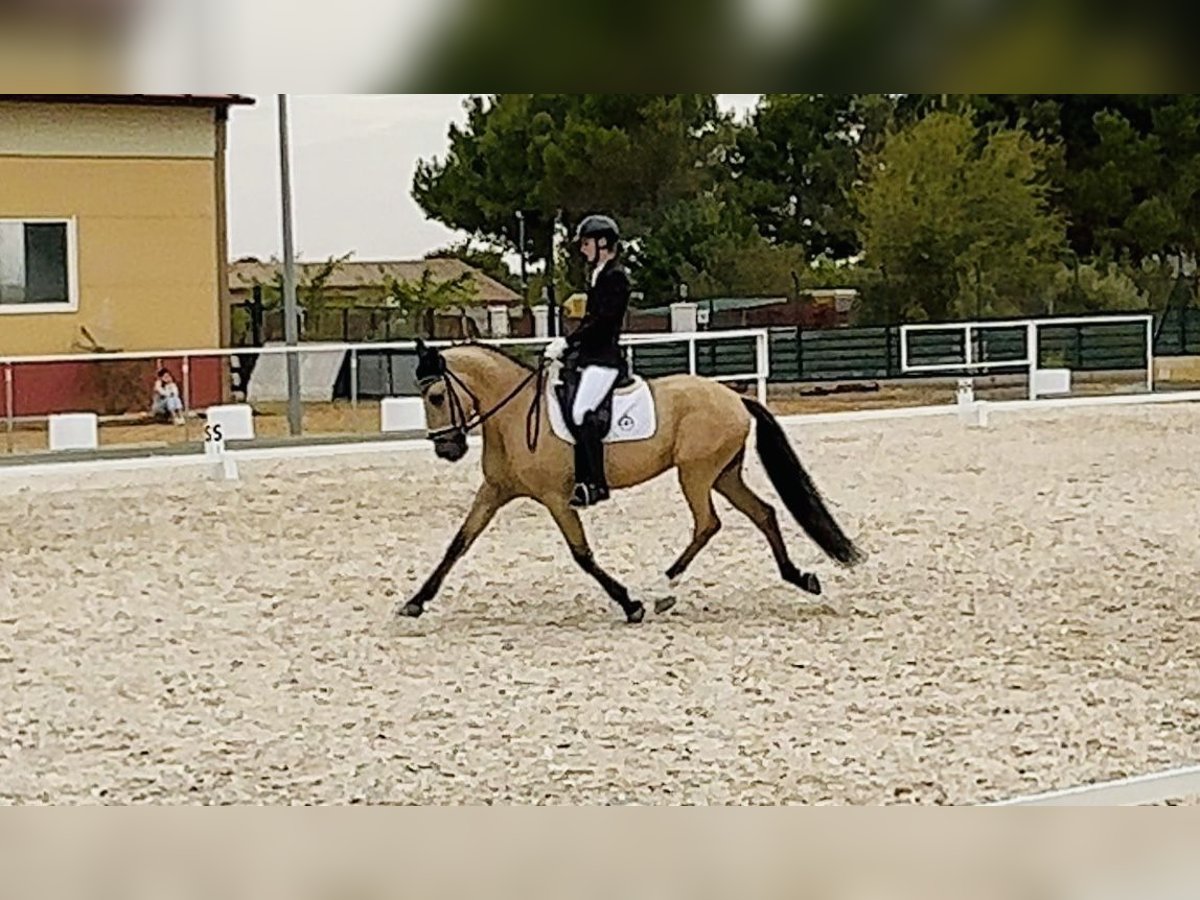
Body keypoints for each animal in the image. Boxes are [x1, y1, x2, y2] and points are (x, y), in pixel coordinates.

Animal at [400, 340, 864, 624]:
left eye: (436, 397)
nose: (447, 448)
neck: (513, 415)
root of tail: (735, 395)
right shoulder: (495, 492)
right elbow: (458, 544)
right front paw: (414, 602)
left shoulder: (556, 498)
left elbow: (582, 555)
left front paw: (630, 603)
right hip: (723, 474)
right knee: (763, 513)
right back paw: (799, 577)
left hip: (695, 473)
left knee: (708, 524)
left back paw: (663, 588)